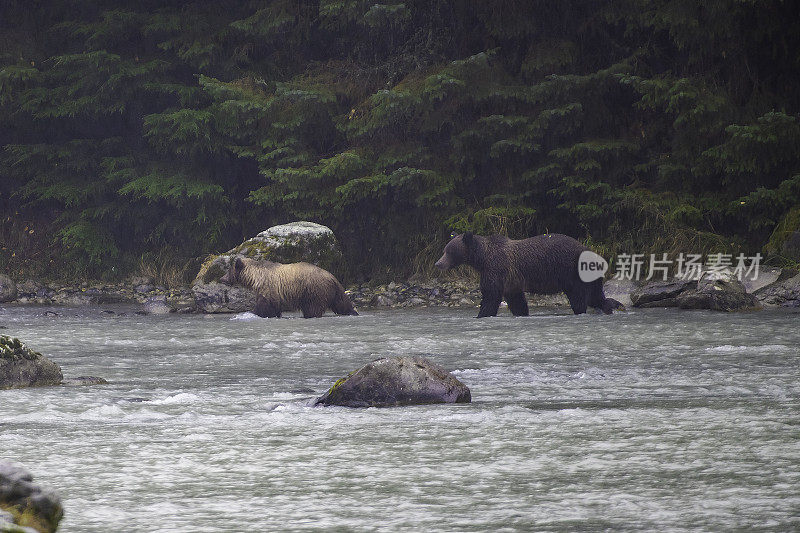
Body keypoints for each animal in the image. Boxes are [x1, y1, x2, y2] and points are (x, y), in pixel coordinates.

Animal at [217, 256, 358, 318]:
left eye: (228, 270)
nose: (221, 279)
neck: (254, 277)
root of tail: (332, 276)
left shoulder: (267, 286)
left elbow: (265, 305)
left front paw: (253, 312)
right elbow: (274, 306)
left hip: (314, 290)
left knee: (312, 308)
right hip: (334, 290)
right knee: (341, 302)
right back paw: (352, 311)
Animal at [438, 233, 620, 316]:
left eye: (449, 251)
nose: (438, 263)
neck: (481, 259)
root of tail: (595, 255)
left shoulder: (496, 269)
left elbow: (491, 295)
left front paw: (482, 314)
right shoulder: (511, 280)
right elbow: (516, 299)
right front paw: (521, 312)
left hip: (573, 272)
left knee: (580, 298)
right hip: (589, 276)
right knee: (596, 296)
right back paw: (611, 305)